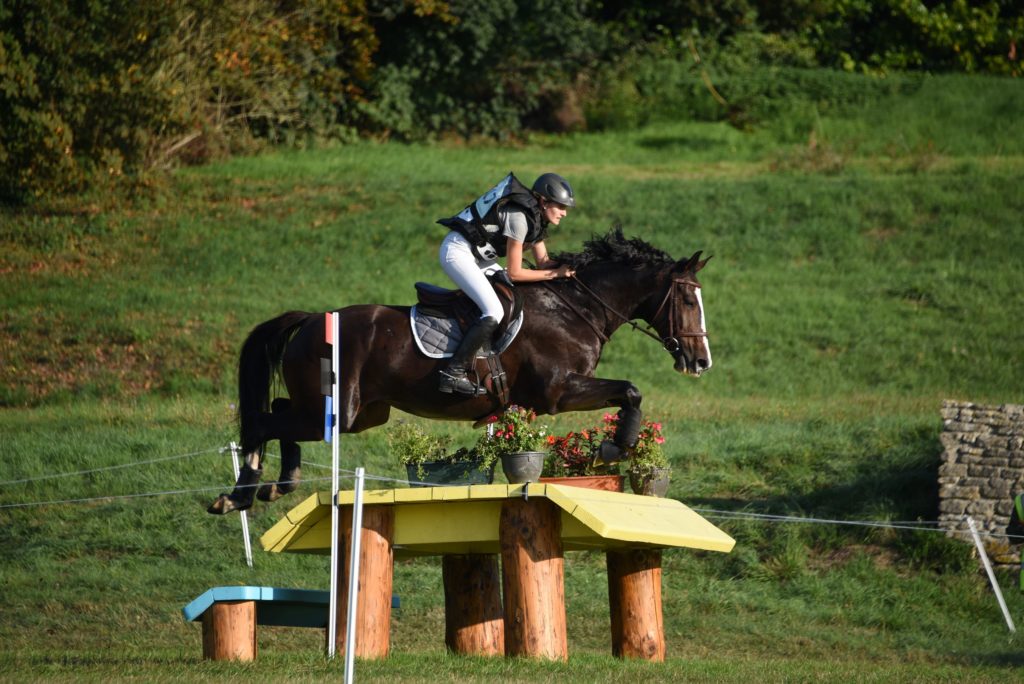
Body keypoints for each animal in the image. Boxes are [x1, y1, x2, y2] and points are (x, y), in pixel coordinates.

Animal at [207, 229, 712, 511]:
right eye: (689, 300)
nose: (701, 361)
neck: (575, 307)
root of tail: (312, 319)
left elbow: (629, 391)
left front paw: (614, 446)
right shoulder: (558, 392)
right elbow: (630, 390)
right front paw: (615, 446)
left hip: (358, 412)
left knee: (277, 408)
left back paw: (279, 484)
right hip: (338, 411)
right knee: (264, 419)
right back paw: (238, 496)